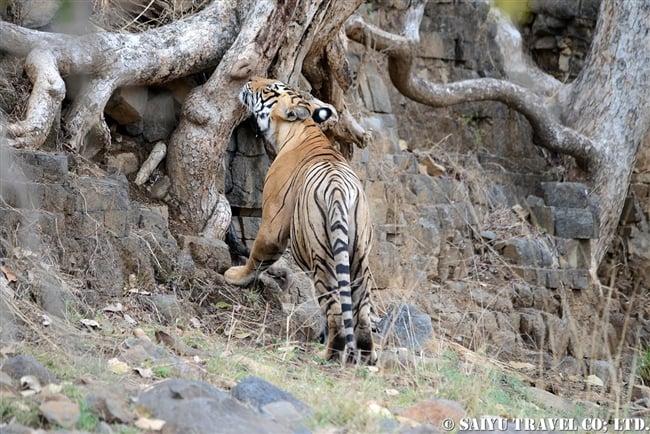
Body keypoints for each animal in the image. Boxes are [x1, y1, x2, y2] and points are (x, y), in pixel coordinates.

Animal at [225, 77, 374, 362]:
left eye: (269, 88)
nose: (249, 80)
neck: (301, 128)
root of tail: (338, 189)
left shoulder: (272, 224)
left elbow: (258, 257)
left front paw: (235, 276)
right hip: (360, 256)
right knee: (361, 311)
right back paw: (365, 360)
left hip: (323, 257)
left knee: (335, 309)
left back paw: (327, 355)